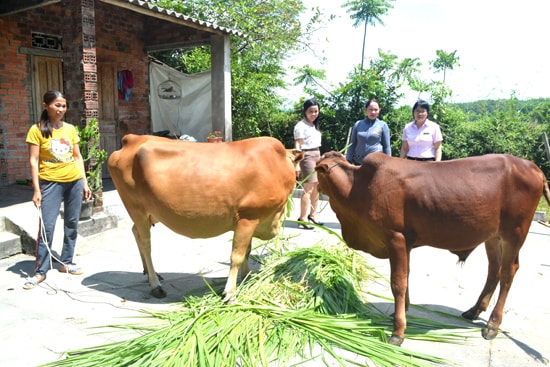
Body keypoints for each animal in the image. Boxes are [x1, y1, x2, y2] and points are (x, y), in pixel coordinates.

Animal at [109, 134, 304, 302]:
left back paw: (151, 274)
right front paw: (230, 292)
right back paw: (155, 285)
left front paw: (246, 277)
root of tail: (133, 138)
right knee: (146, 244)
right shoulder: (248, 217)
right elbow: (237, 256)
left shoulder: (251, 221)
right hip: (136, 208)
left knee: (135, 232)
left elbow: (247, 252)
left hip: (152, 212)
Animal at [314, 151, 550, 346]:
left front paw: (398, 331)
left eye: (317, 170)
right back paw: (474, 311)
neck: (358, 188)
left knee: (508, 273)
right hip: (493, 236)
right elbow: (406, 276)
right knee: (495, 270)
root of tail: (533, 167)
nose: (311, 184)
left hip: (515, 233)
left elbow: (398, 283)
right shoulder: (406, 244)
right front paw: (402, 312)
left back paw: (492, 324)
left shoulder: (396, 238)